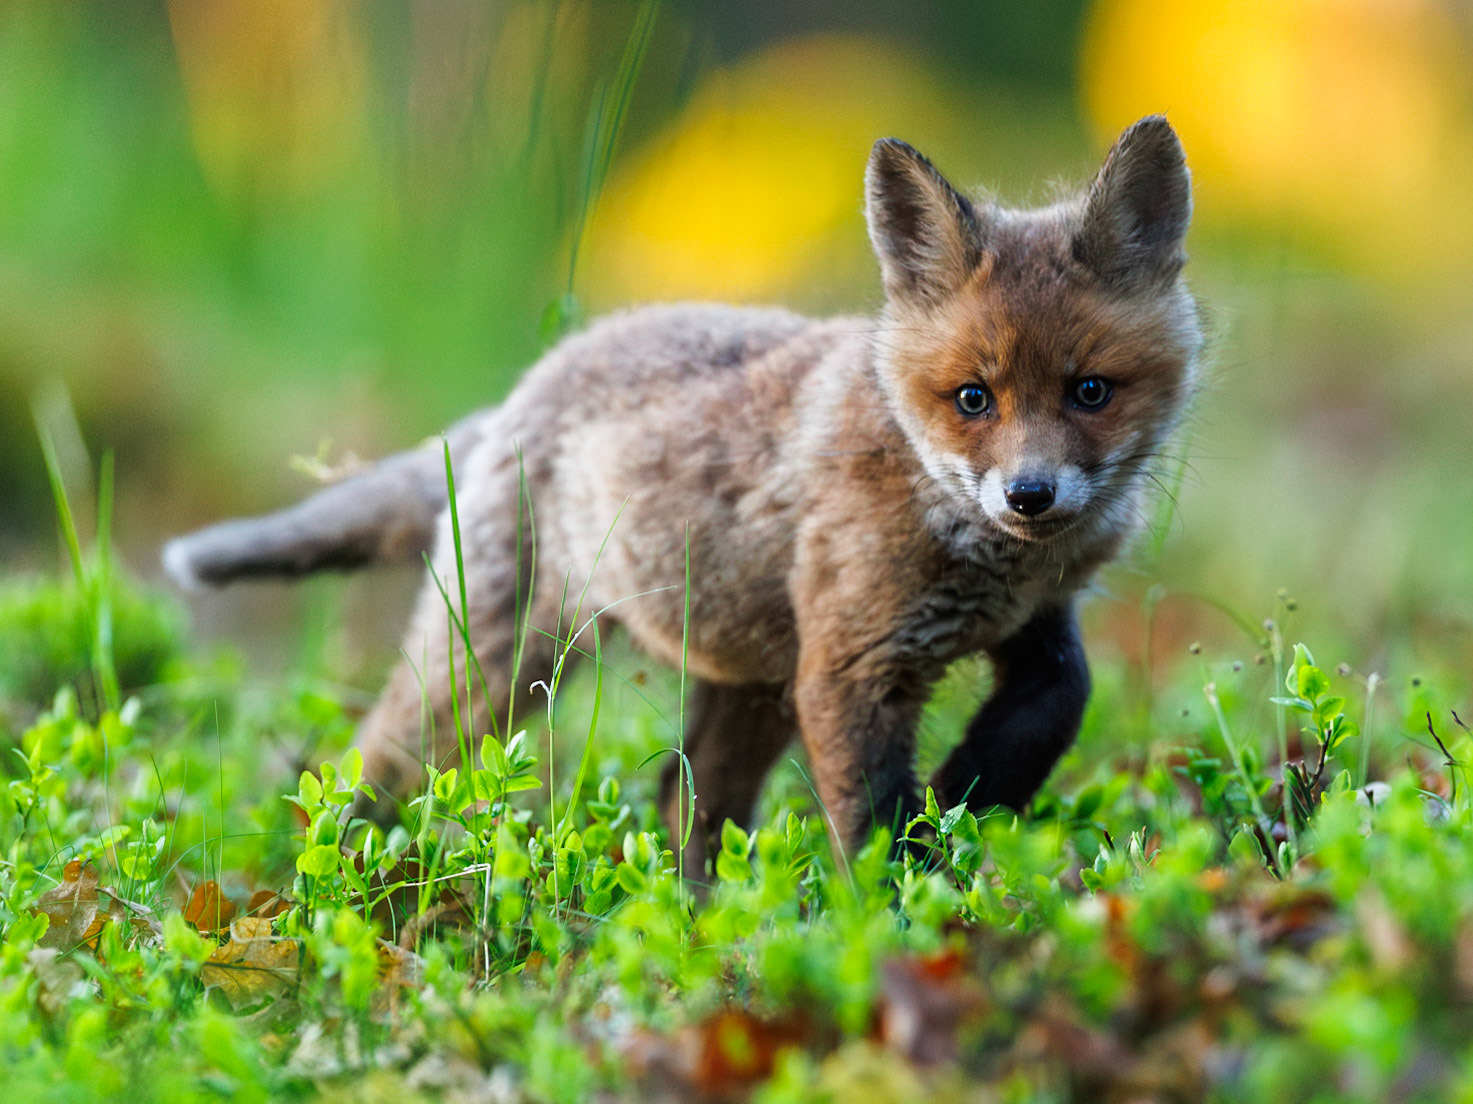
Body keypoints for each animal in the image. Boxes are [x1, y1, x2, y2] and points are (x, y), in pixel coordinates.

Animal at [163, 115, 1201, 871]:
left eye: (1090, 392)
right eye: (972, 399)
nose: (1029, 495)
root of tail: (525, 387)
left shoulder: (1033, 622)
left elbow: (1062, 696)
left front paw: (972, 788)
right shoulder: (851, 668)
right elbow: (876, 826)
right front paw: (913, 912)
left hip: (750, 685)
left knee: (682, 802)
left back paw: (700, 920)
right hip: (496, 666)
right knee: (371, 763)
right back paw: (331, 885)